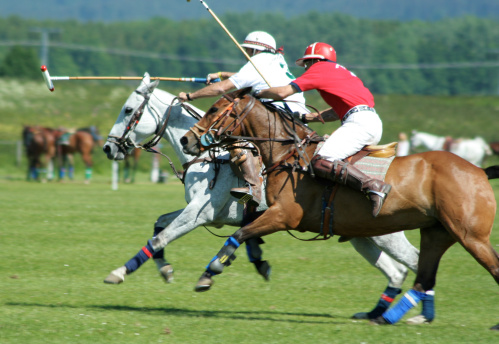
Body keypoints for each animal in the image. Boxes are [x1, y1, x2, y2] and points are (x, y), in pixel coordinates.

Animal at [102, 73, 430, 322]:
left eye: (128, 110)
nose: (107, 148)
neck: (208, 159)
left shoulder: (201, 213)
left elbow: (161, 237)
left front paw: (119, 272)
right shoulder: (203, 213)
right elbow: (160, 224)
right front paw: (166, 270)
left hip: (386, 234)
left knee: (415, 263)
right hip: (362, 235)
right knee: (397, 271)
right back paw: (378, 313)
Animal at [180, 87, 499, 326]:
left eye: (214, 109)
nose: (187, 139)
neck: (286, 154)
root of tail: (481, 172)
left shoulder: (284, 216)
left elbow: (239, 234)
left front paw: (208, 274)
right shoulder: (272, 213)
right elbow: (245, 231)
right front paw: (250, 262)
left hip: (470, 235)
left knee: (487, 266)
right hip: (436, 232)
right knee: (423, 276)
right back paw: (388, 317)